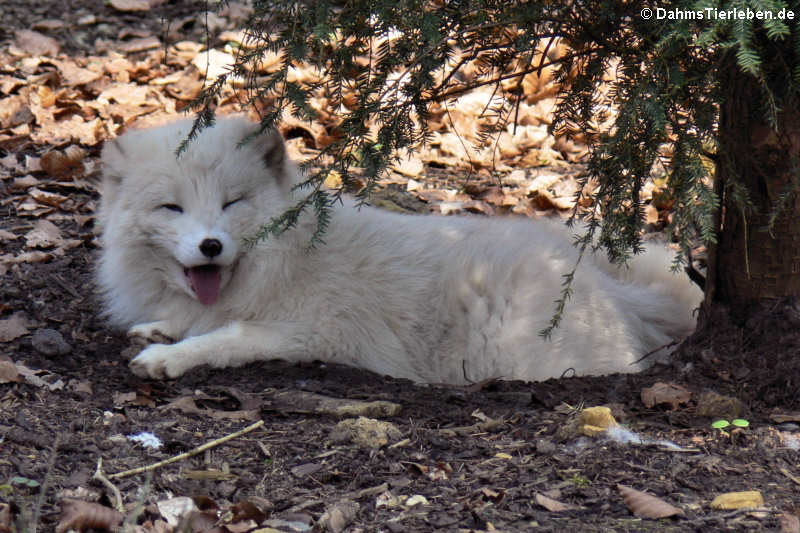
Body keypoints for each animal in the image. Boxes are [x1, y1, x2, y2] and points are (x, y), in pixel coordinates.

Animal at [98, 115, 700, 382]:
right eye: (171, 208)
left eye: (231, 202)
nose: (210, 245)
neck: (286, 255)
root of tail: (618, 294)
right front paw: (161, 328)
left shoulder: (313, 331)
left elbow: (227, 338)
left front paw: (168, 357)